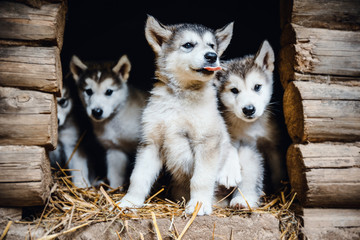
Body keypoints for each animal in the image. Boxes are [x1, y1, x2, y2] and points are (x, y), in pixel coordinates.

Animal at [69, 54, 148, 189]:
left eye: (109, 91)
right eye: (88, 91)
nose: (97, 111)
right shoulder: (114, 148)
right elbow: (115, 174)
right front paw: (114, 189)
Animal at [116, 16, 240, 216]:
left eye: (212, 46)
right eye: (188, 45)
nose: (212, 56)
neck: (180, 97)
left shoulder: (207, 141)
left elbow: (201, 179)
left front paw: (198, 205)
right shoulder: (151, 143)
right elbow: (138, 177)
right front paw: (130, 201)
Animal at [215, 39, 286, 208]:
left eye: (257, 87)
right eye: (234, 90)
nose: (248, 109)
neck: (251, 127)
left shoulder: (274, 145)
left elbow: (277, 168)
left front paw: (278, 187)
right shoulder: (230, 134)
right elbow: (230, 149)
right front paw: (229, 173)